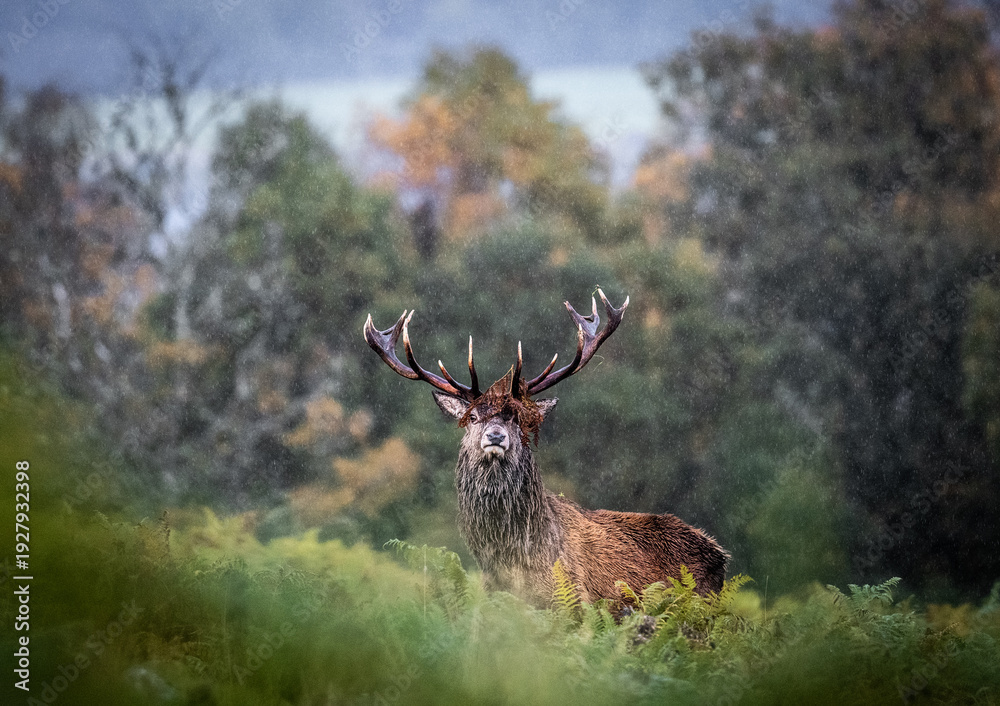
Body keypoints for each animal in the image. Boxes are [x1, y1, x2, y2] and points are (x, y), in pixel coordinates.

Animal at [364, 288, 728, 607]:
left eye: (521, 419)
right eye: (472, 417)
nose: (495, 436)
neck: (513, 564)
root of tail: (721, 554)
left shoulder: (574, 604)